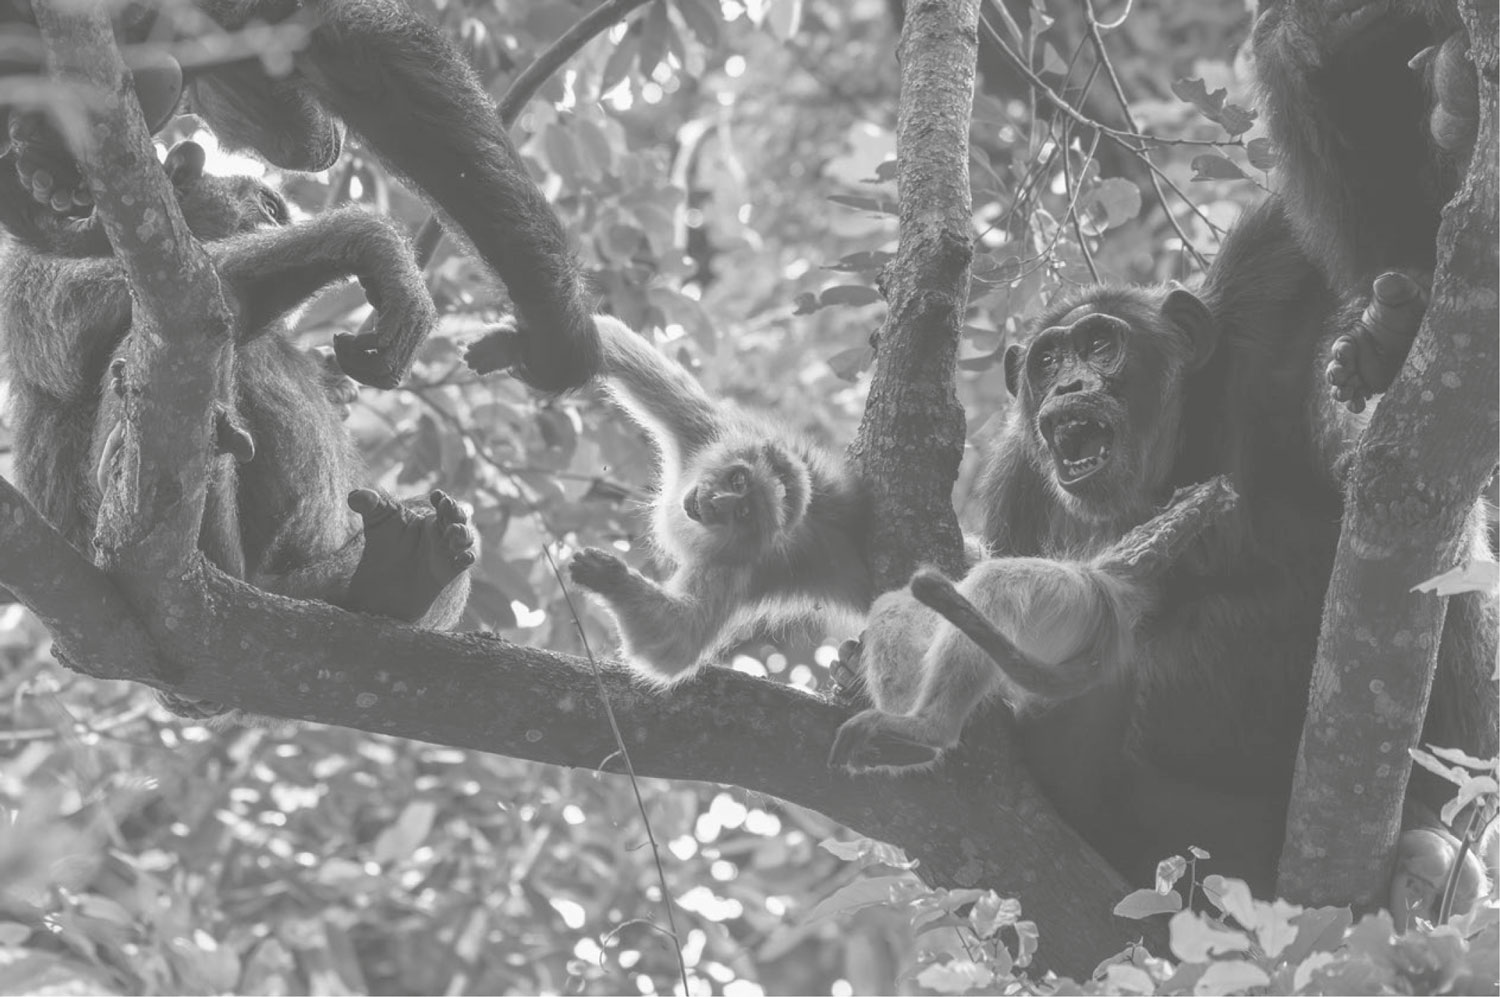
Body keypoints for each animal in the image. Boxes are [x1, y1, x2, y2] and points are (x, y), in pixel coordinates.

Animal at [0, 137, 477, 715]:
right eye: (268, 207)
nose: (278, 226)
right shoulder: (27, 266)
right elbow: (77, 312)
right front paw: (370, 242)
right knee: (190, 317)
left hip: (299, 590)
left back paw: (402, 569)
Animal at [512, 315, 873, 683]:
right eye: (738, 480)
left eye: (743, 512)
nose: (716, 501)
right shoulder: (713, 431)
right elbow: (618, 346)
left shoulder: (740, 568)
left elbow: (676, 640)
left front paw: (611, 578)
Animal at [829, 198, 1498, 918]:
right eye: (1048, 358)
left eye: (1101, 344)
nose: (1069, 382)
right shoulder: (1016, 485)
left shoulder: (1267, 296)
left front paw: (1383, 340)